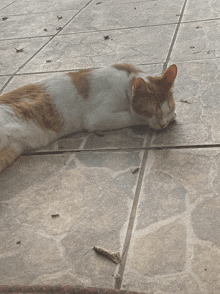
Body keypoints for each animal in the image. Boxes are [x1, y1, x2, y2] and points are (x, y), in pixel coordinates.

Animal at [0, 62, 177, 172]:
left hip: (12, 150)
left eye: (168, 109)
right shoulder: (96, 117)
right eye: (151, 111)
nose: (162, 124)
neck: (127, 81)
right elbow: (132, 116)